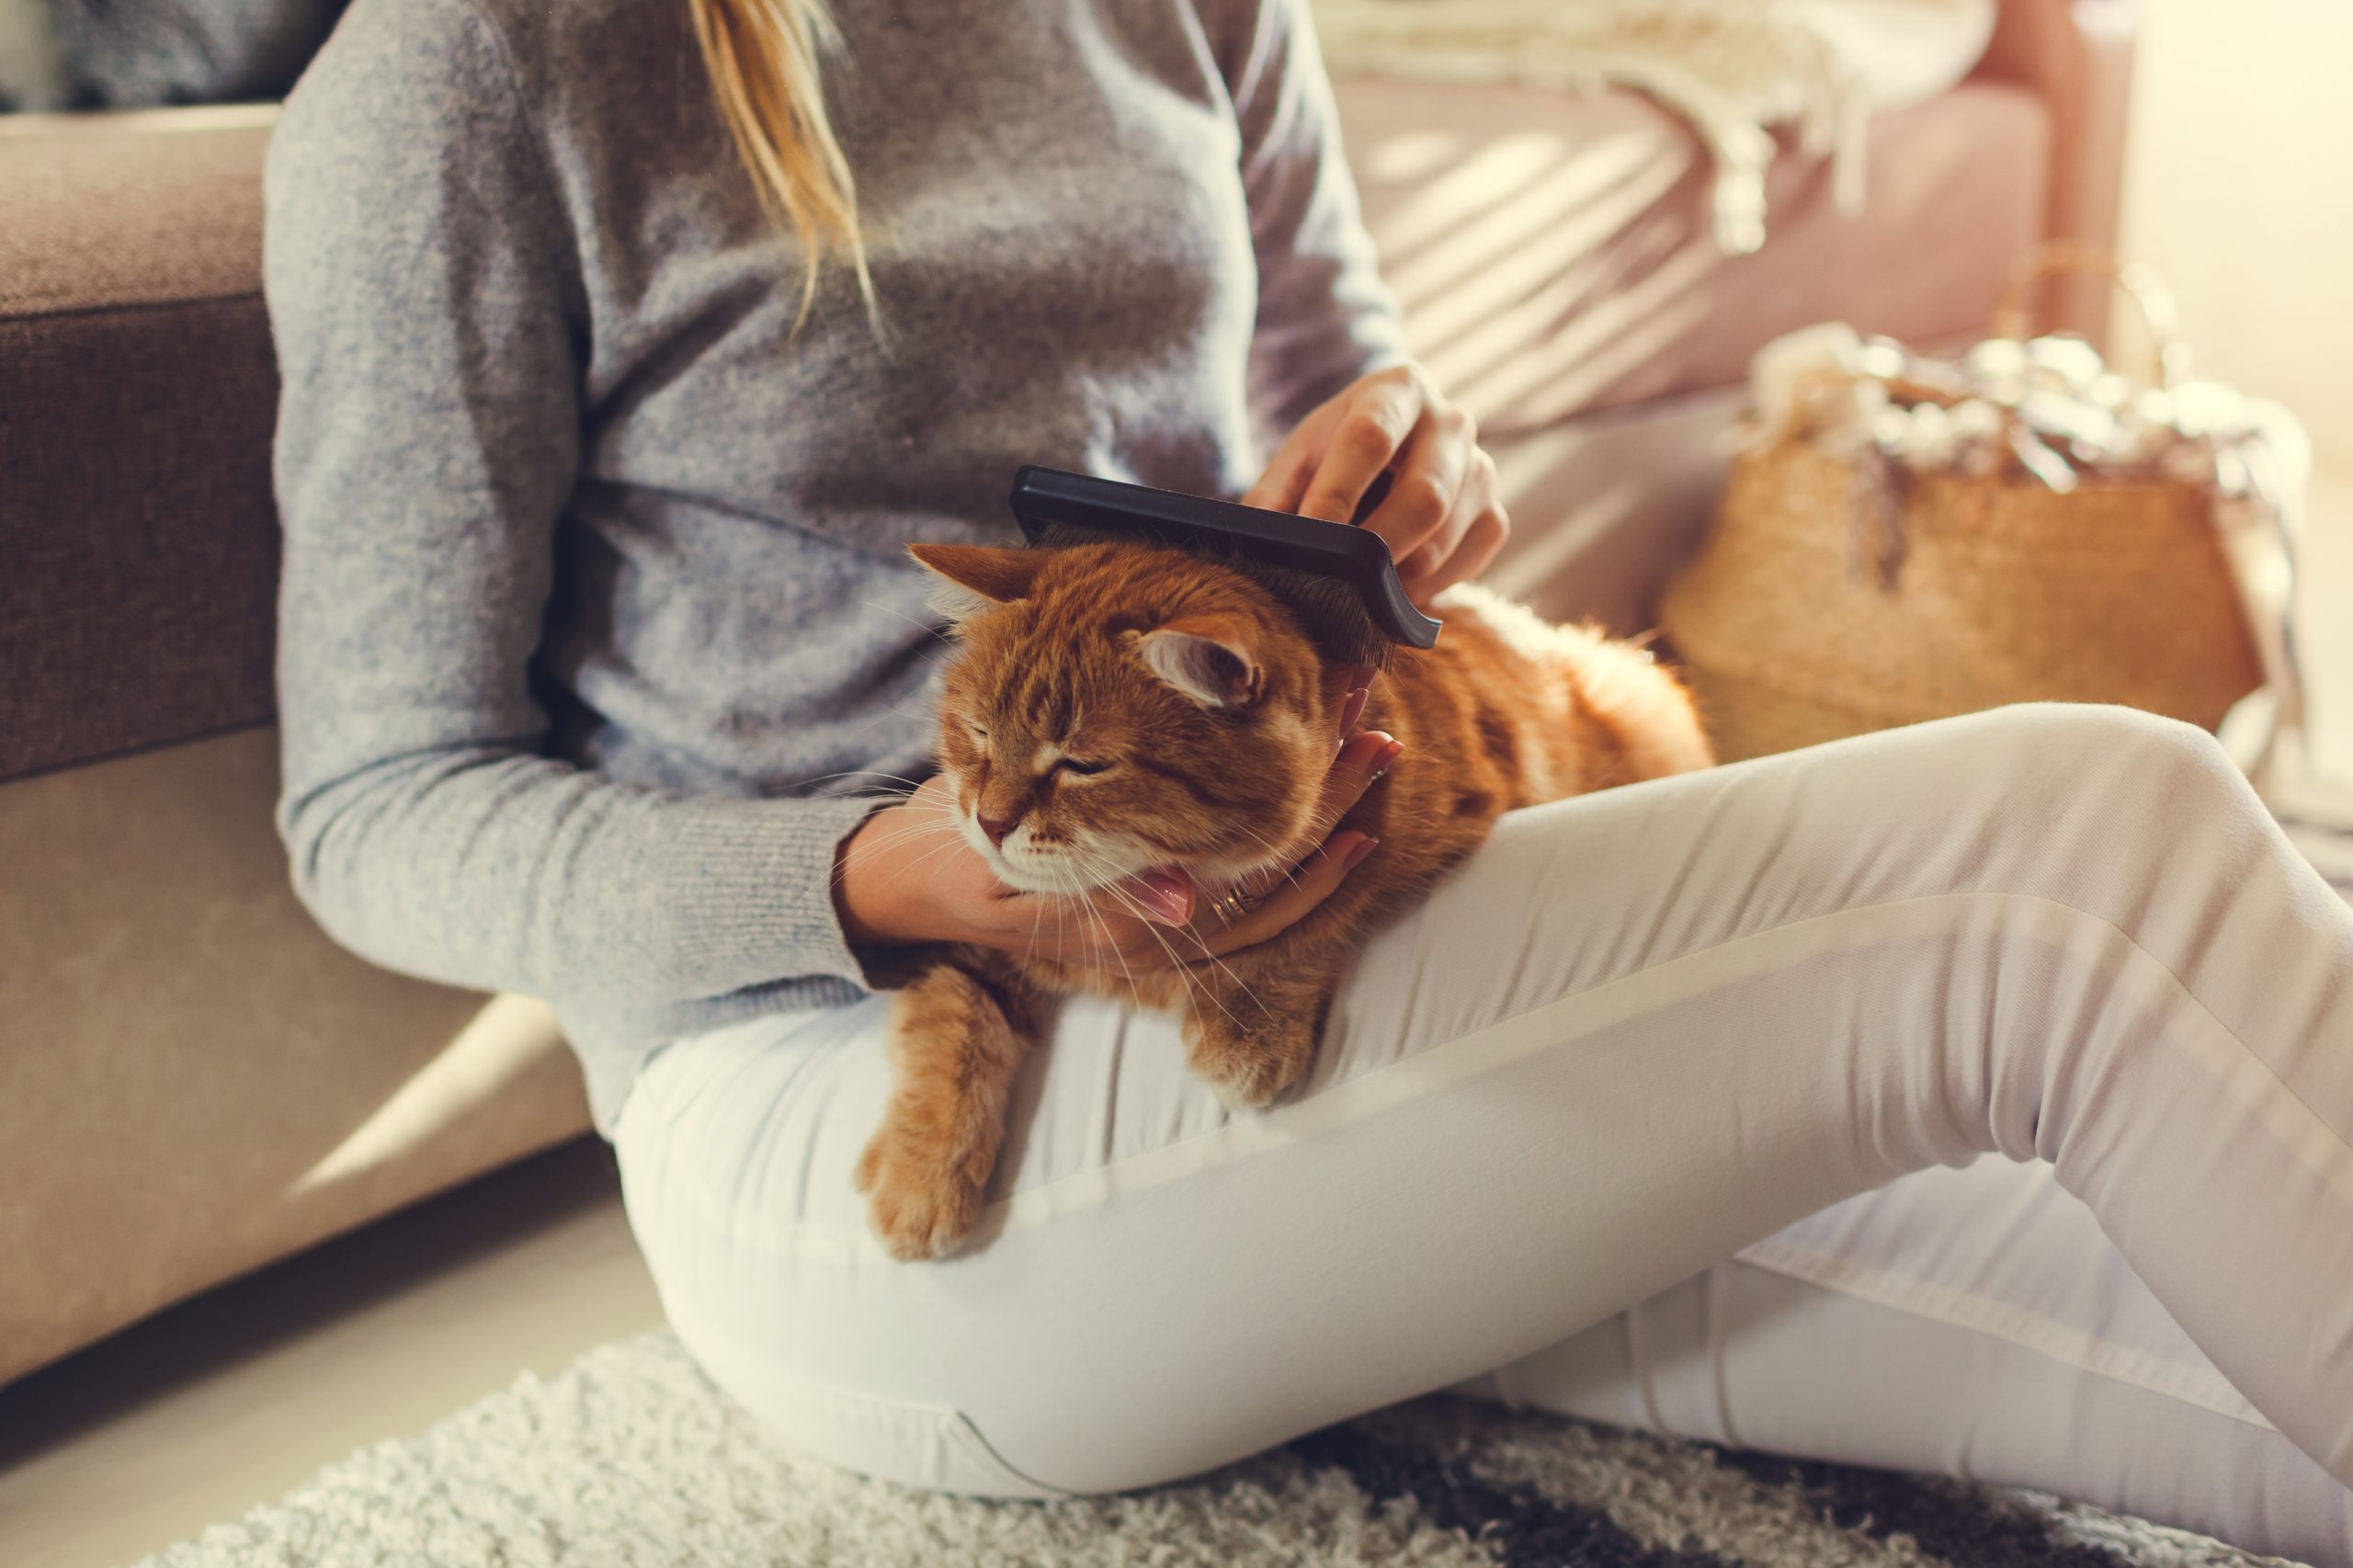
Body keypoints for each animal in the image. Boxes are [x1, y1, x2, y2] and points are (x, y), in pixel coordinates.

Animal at [851, 541, 1712, 1261]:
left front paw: (1245, 1024)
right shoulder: (959, 941)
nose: (990, 821)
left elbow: (1309, 917)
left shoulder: (1410, 826)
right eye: (977, 735)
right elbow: (947, 1029)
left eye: (1084, 765)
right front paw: (917, 1177)